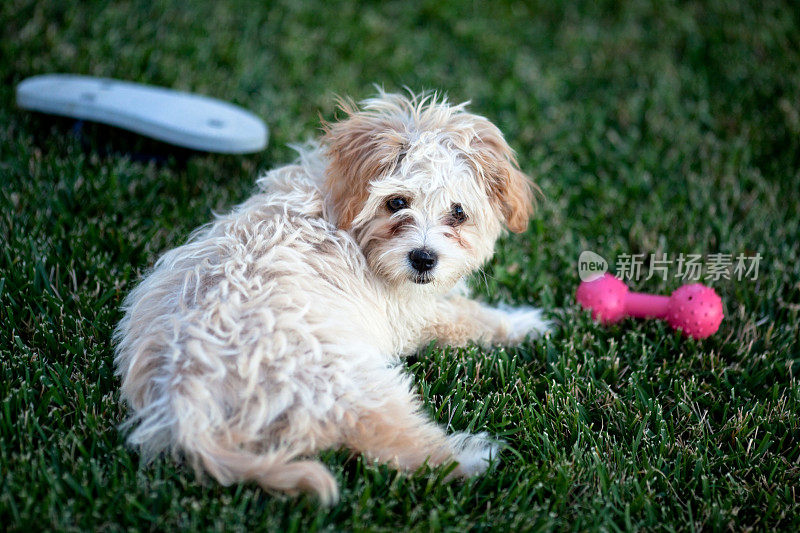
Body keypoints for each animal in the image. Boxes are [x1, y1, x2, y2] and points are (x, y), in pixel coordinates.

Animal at [114, 90, 552, 502]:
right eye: (397, 202)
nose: (424, 259)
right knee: (392, 442)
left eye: (458, 213)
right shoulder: (413, 314)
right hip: (350, 382)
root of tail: (185, 401)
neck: (344, 219)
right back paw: (471, 458)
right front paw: (524, 323)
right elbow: (469, 316)